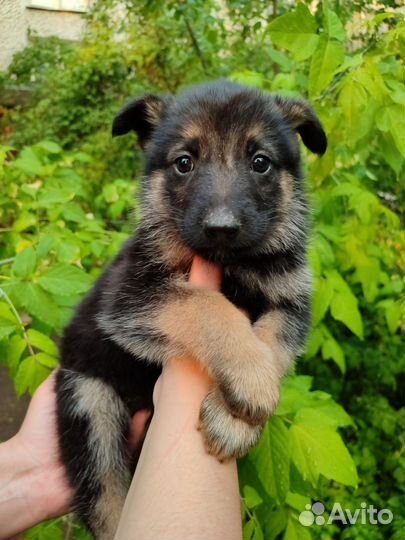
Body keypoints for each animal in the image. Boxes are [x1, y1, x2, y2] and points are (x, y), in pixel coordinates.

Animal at [56, 81, 326, 540]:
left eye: (260, 162)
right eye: (184, 163)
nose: (221, 228)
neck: (235, 264)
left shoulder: (291, 303)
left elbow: (273, 344)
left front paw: (235, 417)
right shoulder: (130, 298)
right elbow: (207, 305)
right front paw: (250, 378)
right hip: (91, 404)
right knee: (106, 497)